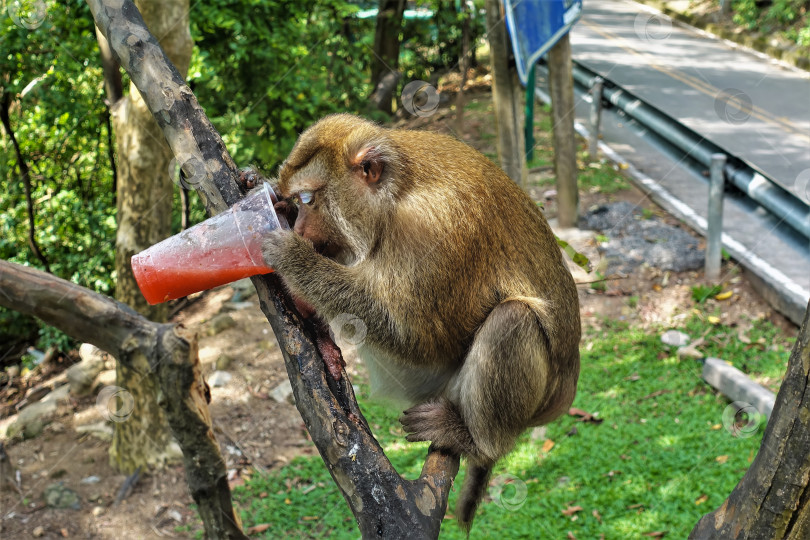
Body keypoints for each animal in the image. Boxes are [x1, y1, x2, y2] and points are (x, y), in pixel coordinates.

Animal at [256, 113, 576, 528]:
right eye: (299, 201)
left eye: (310, 199)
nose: (299, 228)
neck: (395, 199)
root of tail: (567, 390)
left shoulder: (431, 226)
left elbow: (418, 335)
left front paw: (294, 258)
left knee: (513, 319)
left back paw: (476, 442)